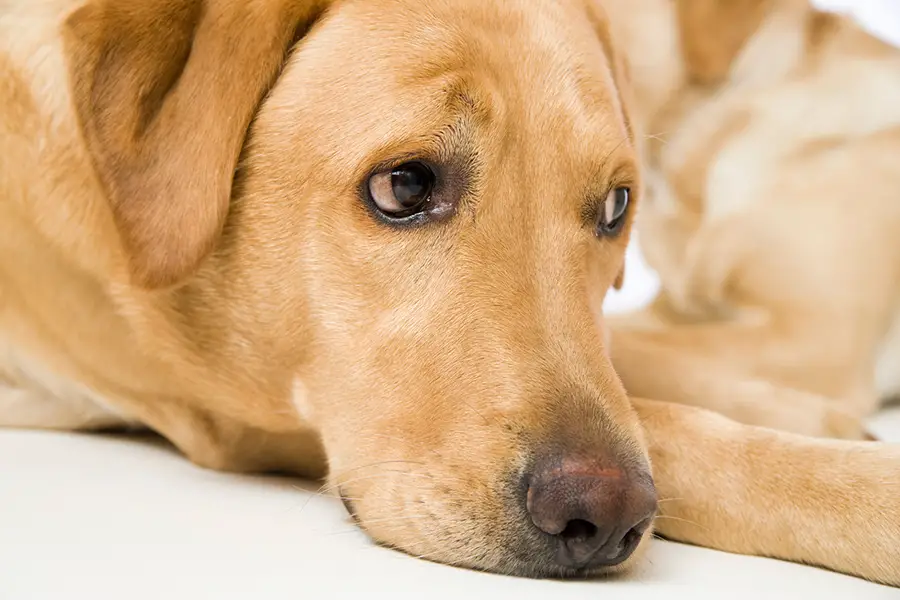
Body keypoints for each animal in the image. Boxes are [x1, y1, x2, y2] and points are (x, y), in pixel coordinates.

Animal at [0, 0, 896, 584]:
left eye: (616, 206)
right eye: (402, 186)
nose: (608, 517)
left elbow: (641, 358)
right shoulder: (232, 405)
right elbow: (670, 428)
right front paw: (866, 491)